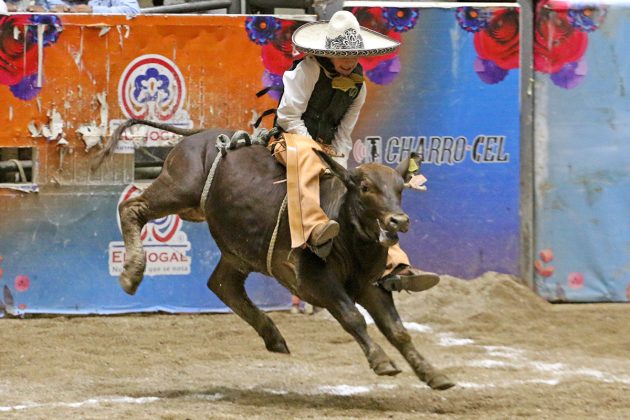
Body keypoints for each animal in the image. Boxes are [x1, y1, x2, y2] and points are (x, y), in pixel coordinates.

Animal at [94, 119, 456, 390]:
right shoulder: (313, 280)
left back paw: (273, 336)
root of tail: (198, 136)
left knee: (223, 284)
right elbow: (352, 316)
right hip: (178, 189)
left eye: (400, 189)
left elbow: (397, 329)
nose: (398, 220)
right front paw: (381, 361)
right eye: (365, 188)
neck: (347, 234)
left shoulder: (370, 285)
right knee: (132, 209)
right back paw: (131, 273)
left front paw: (433, 373)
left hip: (236, 250)